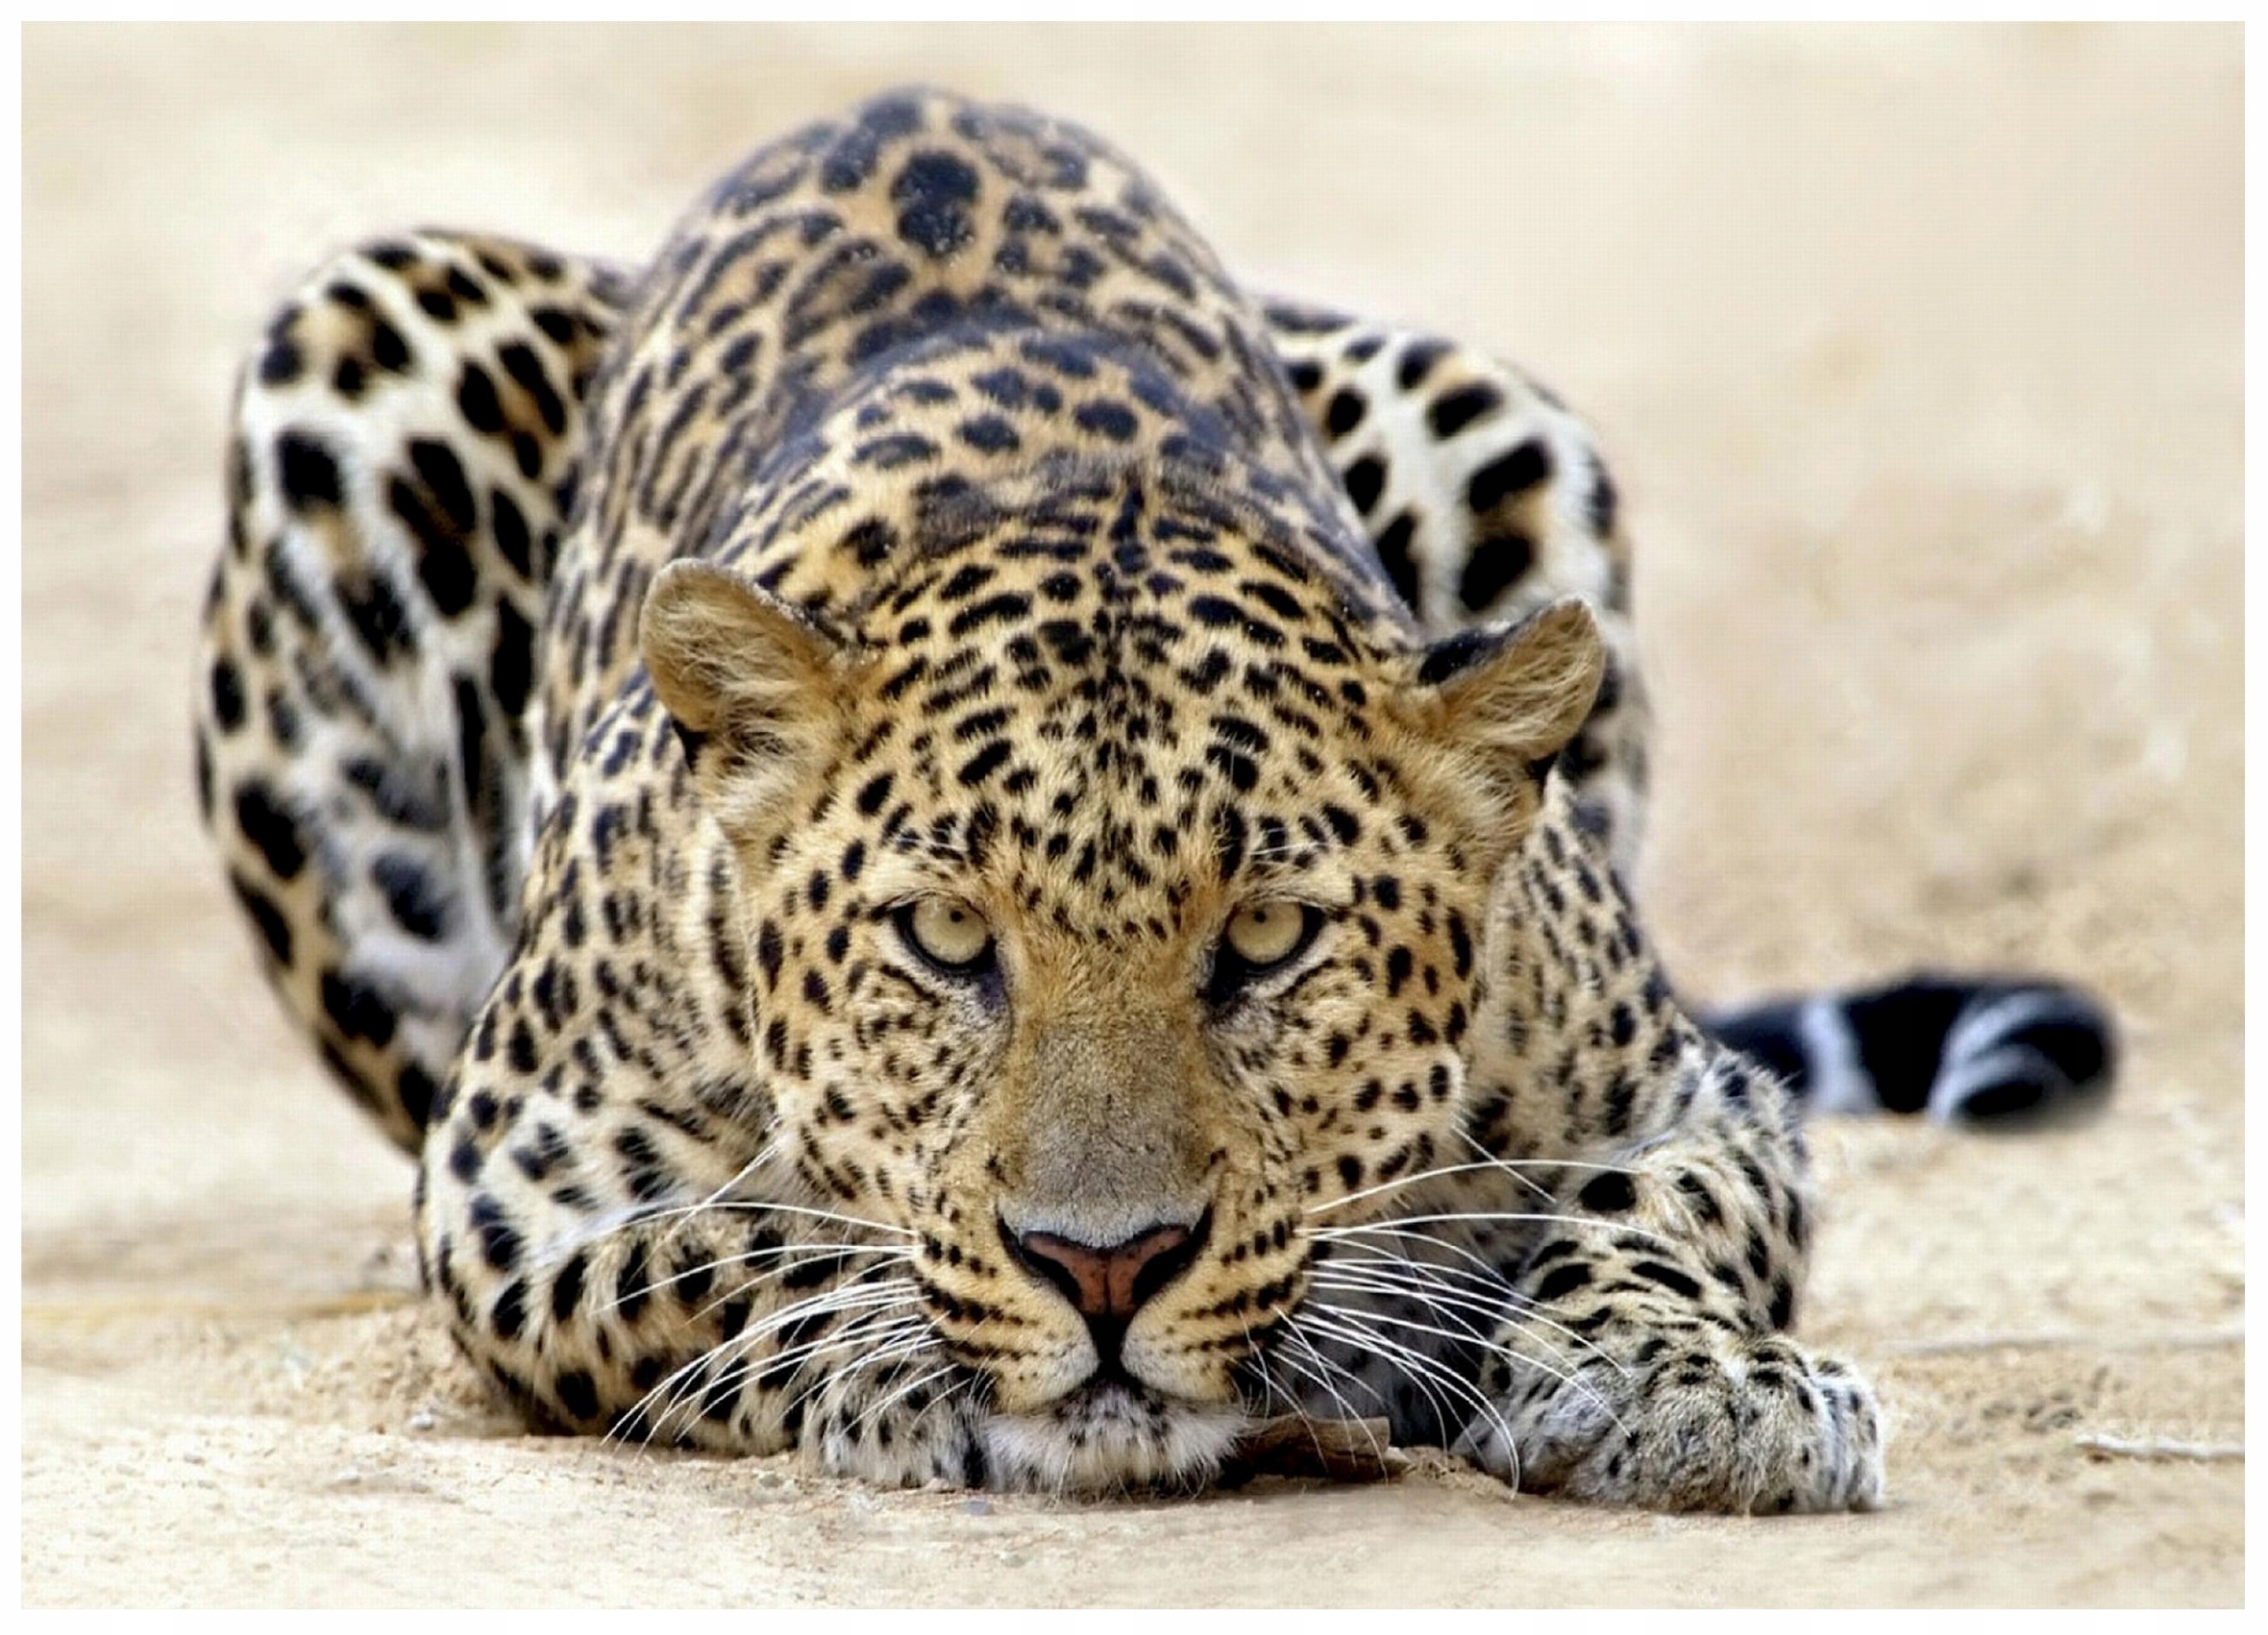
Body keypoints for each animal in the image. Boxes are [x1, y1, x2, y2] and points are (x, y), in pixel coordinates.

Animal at [192, 88, 2116, 1509]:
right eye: (943, 937)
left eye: (1263, 941)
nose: (1104, 1269)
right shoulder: (518, 1180)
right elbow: (738, 1246)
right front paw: (906, 1351)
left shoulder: (1686, 1093)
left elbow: (1662, 1216)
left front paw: (1686, 1378)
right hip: (358, 339)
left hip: (1495, 412)